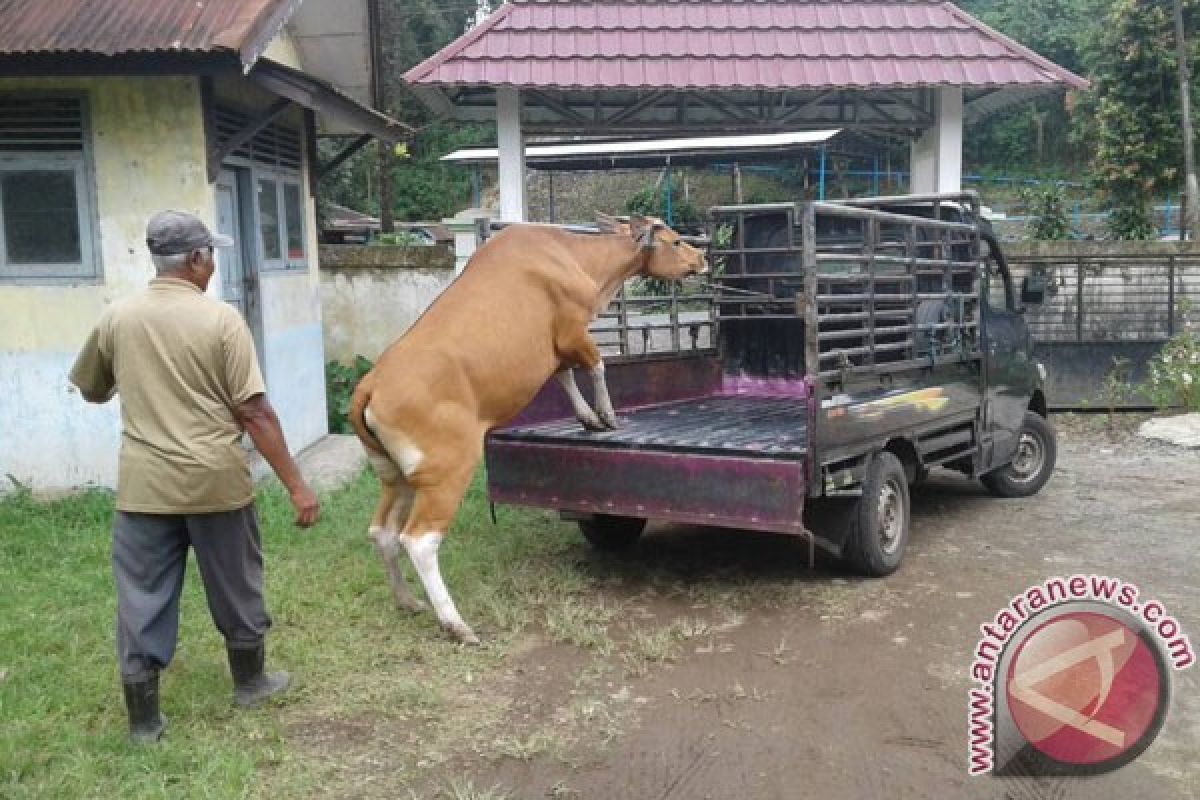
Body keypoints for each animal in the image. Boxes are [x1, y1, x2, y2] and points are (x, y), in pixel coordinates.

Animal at [348, 215, 700, 642]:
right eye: (676, 240)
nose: (702, 258)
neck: (567, 252)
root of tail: (371, 386)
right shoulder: (572, 331)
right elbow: (596, 366)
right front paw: (608, 415)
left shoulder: (554, 349)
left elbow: (564, 377)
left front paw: (589, 418)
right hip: (446, 471)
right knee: (419, 540)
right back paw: (456, 623)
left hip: (394, 475)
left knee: (382, 532)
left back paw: (407, 601)